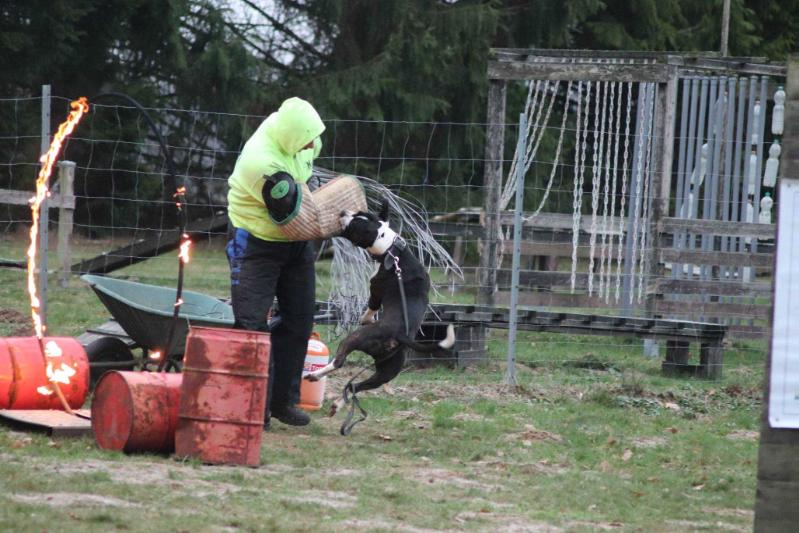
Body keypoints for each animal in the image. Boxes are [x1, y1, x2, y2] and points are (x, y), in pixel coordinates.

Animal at [306, 202, 456, 414]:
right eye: (360, 213)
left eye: (354, 226)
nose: (343, 212)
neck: (391, 250)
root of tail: (400, 336)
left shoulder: (375, 290)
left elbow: (371, 306)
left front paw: (366, 318)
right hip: (386, 372)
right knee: (356, 386)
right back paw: (337, 404)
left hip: (354, 339)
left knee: (339, 362)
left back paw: (315, 375)